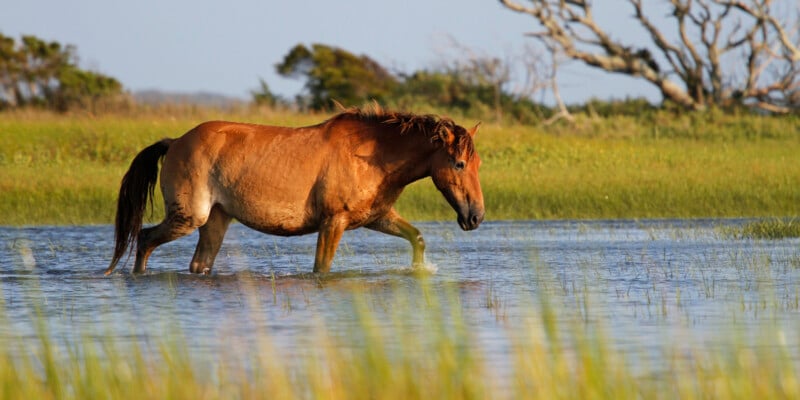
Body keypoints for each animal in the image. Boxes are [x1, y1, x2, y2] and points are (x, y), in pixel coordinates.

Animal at [105, 106, 484, 275]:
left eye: (478, 163)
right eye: (459, 164)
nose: (475, 217)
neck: (371, 156)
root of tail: (174, 142)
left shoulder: (375, 217)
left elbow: (416, 238)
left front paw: (419, 271)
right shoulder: (333, 222)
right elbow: (321, 268)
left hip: (215, 220)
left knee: (198, 264)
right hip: (188, 217)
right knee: (144, 239)